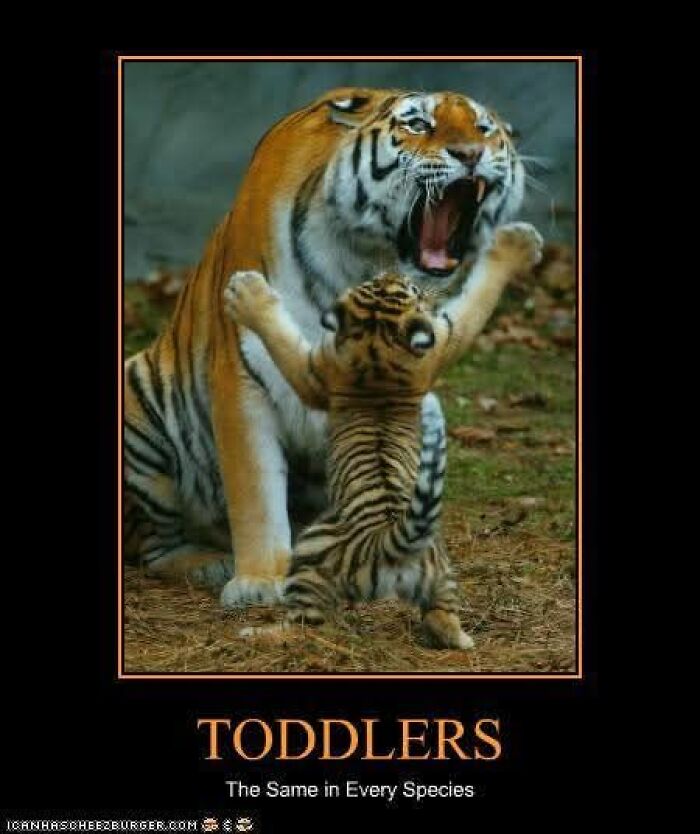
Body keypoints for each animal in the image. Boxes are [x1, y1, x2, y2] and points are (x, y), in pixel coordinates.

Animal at [123, 86, 529, 611]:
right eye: (419, 124)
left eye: (483, 129)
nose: (471, 155)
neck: (366, 258)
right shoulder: (243, 373)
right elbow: (255, 488)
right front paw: (259, 580)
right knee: (154, 546)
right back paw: (209, 564)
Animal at [222, 222, 543, 647]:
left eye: (409, 286)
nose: (395, 268)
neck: (378, 350)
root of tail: (391, 544)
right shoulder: (443, 339)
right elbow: (476, 299)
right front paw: (518, 243)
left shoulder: (311, 371)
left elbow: (281, 337)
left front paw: (246, 293)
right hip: (441, 573)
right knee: (441, 616)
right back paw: (463, 640)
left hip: (310, 548)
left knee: (309, 622)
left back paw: (261, 631)